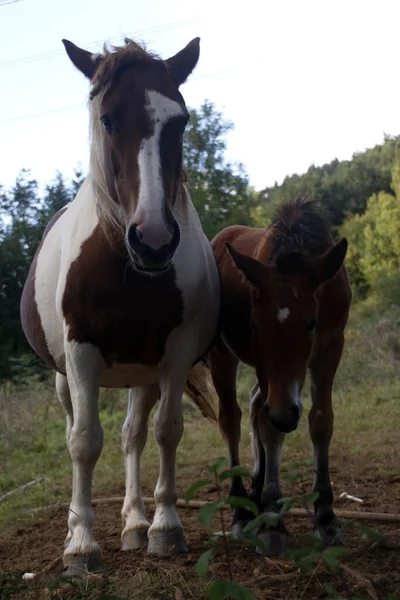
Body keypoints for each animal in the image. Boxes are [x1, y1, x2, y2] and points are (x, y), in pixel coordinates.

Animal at [20, 36, 220, 572]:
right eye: (107, 118)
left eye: (181, 120)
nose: (153, 240)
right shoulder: (81, 352)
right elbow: (84, 442)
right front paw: (81, 545)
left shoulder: (175, 352)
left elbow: (166, 431)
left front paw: (165, 528)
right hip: (65, 377)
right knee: (78, 430)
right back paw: (78, 524)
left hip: (142, 372)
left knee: (133, 434)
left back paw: (134, 523)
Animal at [208, 197, 352, 552]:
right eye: (255, 324)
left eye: (311, 323)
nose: (287, 414)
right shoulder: (264, 364)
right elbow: (269, 428)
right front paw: (273, 518)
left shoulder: (331, 347)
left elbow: (320, 421)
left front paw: (326, 516)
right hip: (221, 354)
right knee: (232, 418)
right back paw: (242, 509)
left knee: (256, 406)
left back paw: (256, 493)